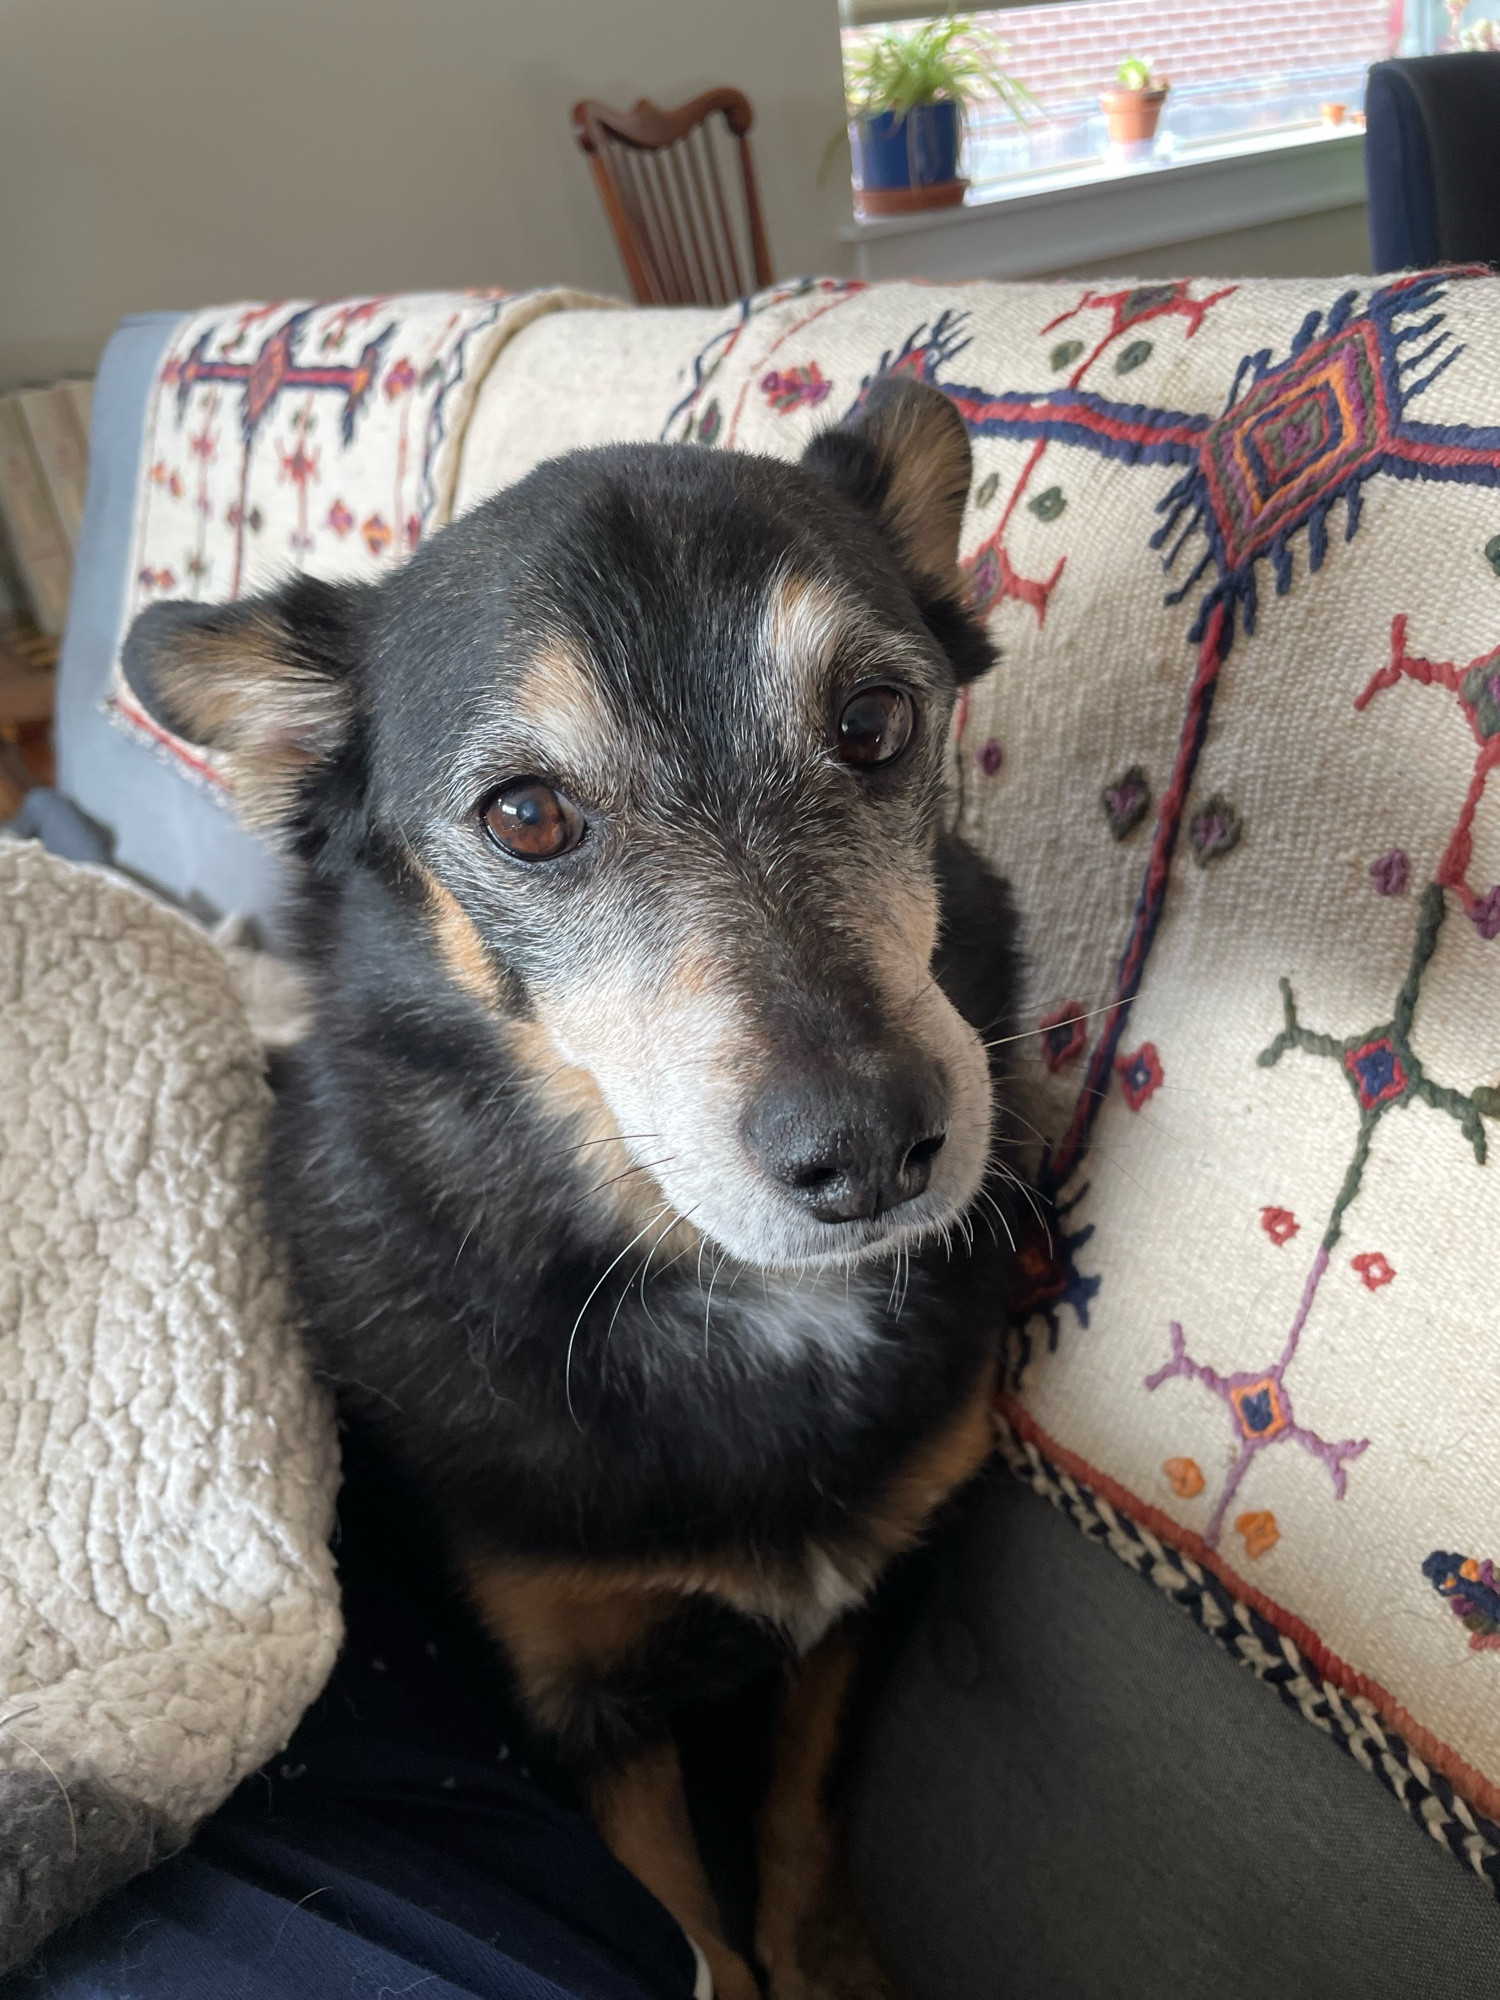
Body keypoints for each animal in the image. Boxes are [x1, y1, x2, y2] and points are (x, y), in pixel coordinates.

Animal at [126, 378, 1024, 2000]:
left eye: (873, 721)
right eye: (526, 816)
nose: (870, 1147)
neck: (740, 1298)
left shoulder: (879, 1586)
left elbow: (801, 1809)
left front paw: (827, 1961)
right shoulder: (571, 1691)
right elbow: (683, 1925)